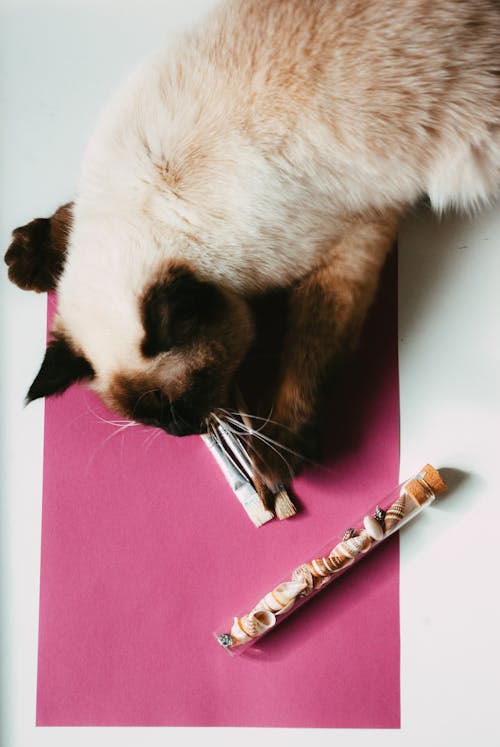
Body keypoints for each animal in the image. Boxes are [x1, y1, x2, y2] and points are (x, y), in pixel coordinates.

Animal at [3, 0, 500, 502]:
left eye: (189, 396)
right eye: (153, 421)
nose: (185, 431)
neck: (162, 202)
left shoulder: (350, 242)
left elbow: (309, 352)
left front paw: (276, 453)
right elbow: (69, 217)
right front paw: (28, 254)